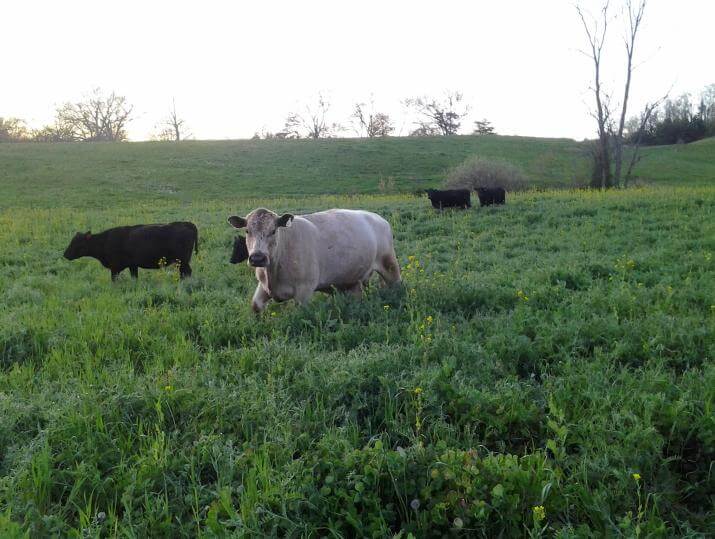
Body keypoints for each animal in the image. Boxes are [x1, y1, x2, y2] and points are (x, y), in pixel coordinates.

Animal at [63, 224, 199, 282]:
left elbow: (114, 280)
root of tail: (186, 224)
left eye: (77, 243)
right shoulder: (133, 266)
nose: (65, 254)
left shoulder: (115, 268)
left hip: (182, 261)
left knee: (187, 272)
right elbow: (134, 277)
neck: (105, 240)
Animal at [228, 208, 402, 312]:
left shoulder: (304, 290)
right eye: (247, 231)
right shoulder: (263, 286)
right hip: (351, 281)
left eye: (273, 231)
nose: (257, 257)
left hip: (389, 264)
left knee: (397, 285)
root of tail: (378, 218)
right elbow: (255, 306)